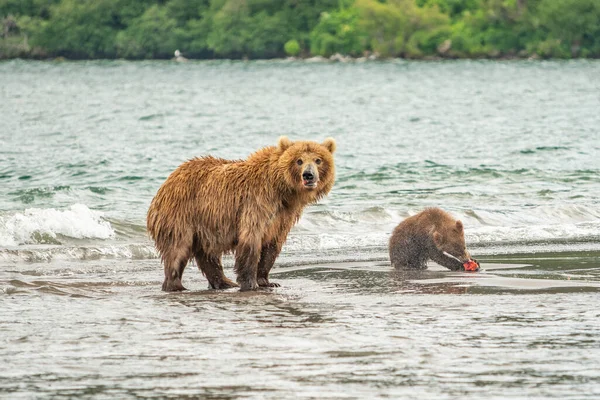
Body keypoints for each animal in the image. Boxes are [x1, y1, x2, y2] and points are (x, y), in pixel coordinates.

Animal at [144, 137, 332, 290]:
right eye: (299, 160)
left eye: (318, 160)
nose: (308, 175)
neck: (282, 191)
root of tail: (165, 184)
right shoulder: (257, 203)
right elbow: (251, 239)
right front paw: (250, 283)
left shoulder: (283, 216)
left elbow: (272, 245)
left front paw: (268, 281)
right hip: (181, 214)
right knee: (177, 250)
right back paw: (176, 285)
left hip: (205, 226)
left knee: (207, 255)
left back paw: (223, 282)